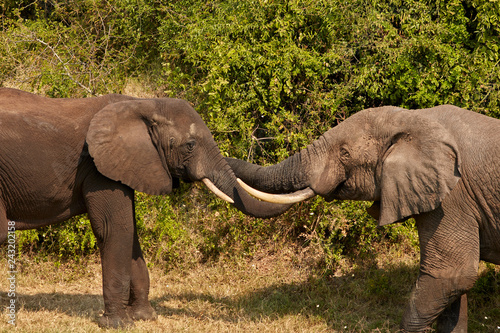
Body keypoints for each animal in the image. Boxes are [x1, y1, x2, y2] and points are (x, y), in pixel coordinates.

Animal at [0, 87, 290, 326]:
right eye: (190, 145)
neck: (142, 104)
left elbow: (131, 232)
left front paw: (144, 317)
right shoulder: (97, 166)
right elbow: (116, 229)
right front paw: (116, 324)